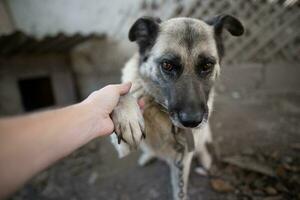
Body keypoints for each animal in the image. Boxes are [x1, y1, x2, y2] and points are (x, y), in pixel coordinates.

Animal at [110, 14, 244, 200]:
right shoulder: (122, 147)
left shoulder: (182, 161)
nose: (192, 121)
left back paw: (205, 160)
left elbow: (180, 190)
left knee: (202, 147)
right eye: (167, 65)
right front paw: (128, 118)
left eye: (207, 65)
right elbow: (123, 93)